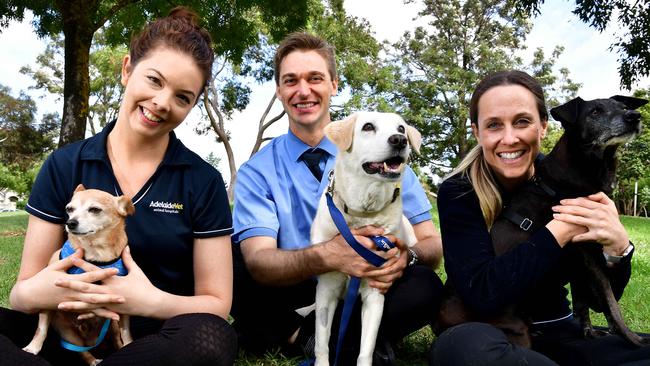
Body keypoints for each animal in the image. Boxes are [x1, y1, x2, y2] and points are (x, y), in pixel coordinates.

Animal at [310, 111, 420, 366]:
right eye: (368, 127)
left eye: (401, 128)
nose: (400, 140)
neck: (363, 213)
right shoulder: (326, 289)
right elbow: (322, 344)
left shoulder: (375, 293)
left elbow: (365, 350)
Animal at [438, 93, 644, 346]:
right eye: (595, 112)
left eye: (623, 107)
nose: (634, 116)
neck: (587, 165)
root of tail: (441, 320)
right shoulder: (589, 251)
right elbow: (610, 301)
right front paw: (632, 338)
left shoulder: (581, 261)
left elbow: (583, 301)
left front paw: (588, 332)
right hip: (515, 329)